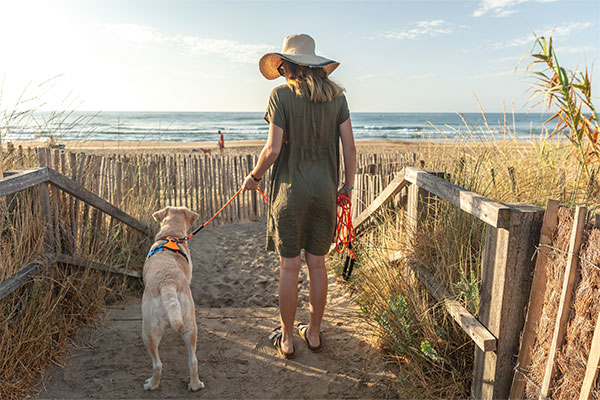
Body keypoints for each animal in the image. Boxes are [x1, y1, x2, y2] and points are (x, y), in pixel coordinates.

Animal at [142, 206, 205, 390]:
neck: (171, 234)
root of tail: (167, 283)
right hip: (190, 326)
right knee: (193, 361)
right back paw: (195, 385)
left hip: (147, 331)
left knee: (157, 364)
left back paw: (151, 385)